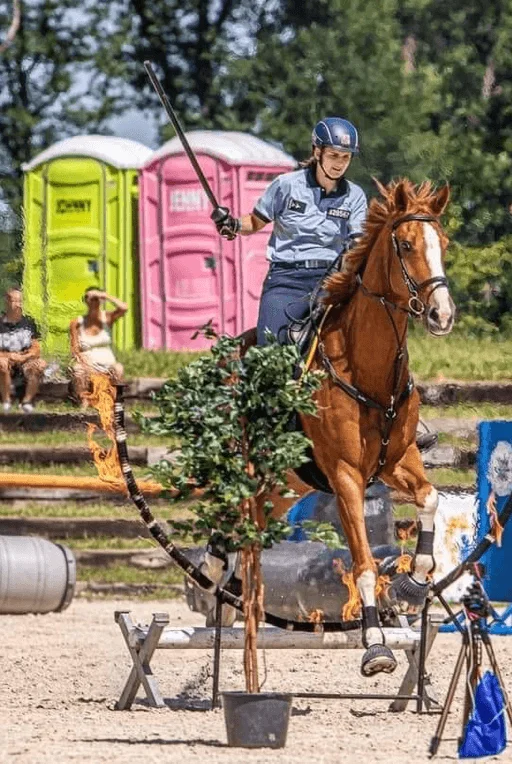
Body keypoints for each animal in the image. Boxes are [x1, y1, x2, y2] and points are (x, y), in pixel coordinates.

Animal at [202, 181, 454, 680]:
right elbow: (363, 565)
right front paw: (375, 644)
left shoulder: (398, 461)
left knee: (250, 526)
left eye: (444, 244)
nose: (442, 314)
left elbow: (430, 499)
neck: (365, 369)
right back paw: (214, 568)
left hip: (284, 485)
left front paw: (413, 584)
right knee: (231, 517)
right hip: (247, 467)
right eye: (406, 244)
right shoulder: (345, 477)